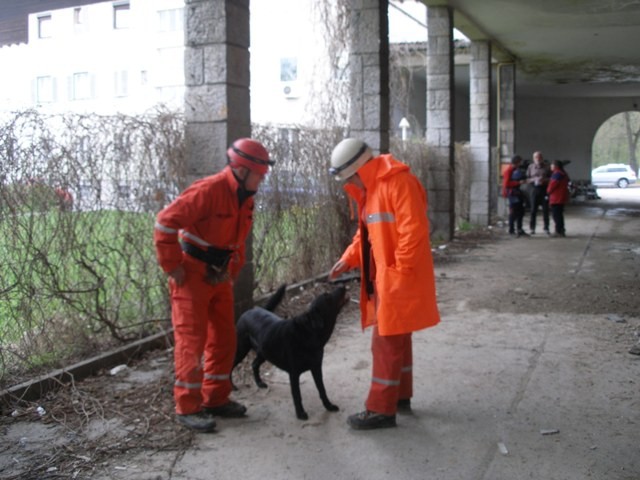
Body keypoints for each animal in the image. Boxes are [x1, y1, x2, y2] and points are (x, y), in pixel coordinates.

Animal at [232, 284, 348, 420]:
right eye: (327, 296)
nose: (342, 285)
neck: (309, 332)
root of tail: (249, 311)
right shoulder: (294, 374)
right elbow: (297, 395)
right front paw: (300, 413)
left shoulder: (316, 368)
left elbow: (322, 389)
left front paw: (329, 406)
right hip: (242, 350)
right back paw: (232, 386)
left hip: (264, 352)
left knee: (254, 364)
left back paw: (260, 383)